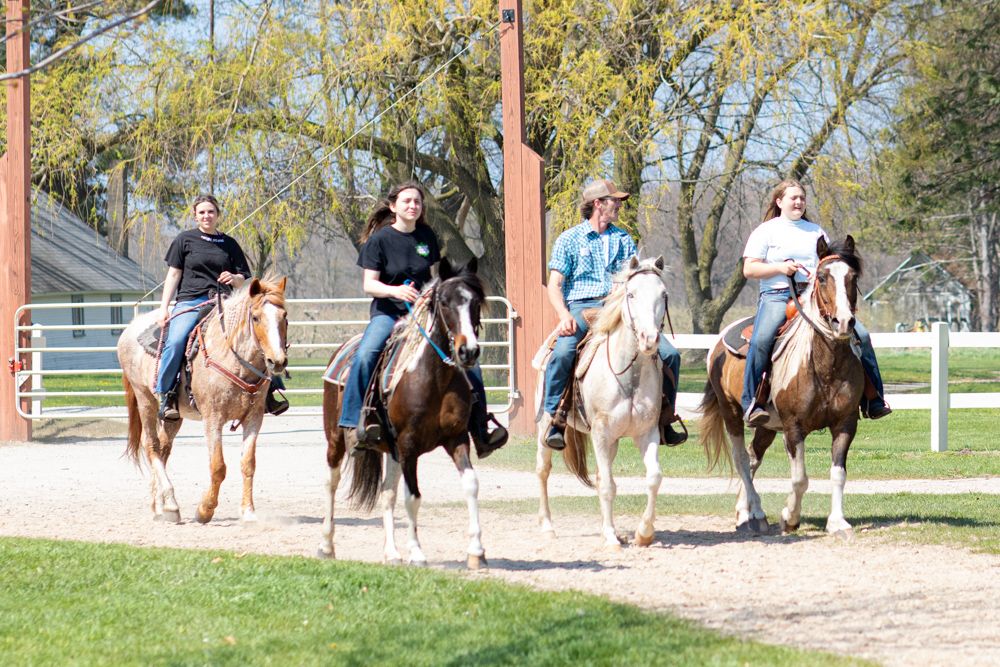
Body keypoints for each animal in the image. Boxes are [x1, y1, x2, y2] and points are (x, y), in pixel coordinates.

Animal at [119, 278, 290, 528]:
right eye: (256, 317)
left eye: (284, 316)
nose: (277, 361)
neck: (232, 357)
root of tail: (130, 328)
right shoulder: (213, 418)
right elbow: (218, 467)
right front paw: (205, 510)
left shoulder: (254, 418)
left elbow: (248, 463)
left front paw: (248, 513)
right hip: (145, 400)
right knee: (151, 446)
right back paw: (170, 504)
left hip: (174, 416)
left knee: (163, 448)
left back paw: (159, 507)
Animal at [320, 258, 488, 568]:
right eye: (444, 302)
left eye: (475, 302)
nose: (468, 351)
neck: (434, 378)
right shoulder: (409, 445)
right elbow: (413, 497)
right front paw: (417, 553)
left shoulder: (457, 438)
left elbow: (471, 484)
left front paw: (476, 551)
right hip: (335, 439)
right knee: (331, 483)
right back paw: (326, 545)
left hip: (391, 449)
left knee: (387, 493)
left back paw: (392, 553)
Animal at [536, 256, 668, 548]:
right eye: (631, 294)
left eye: (663, 295)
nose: (650, 339)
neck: (628, 375)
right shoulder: (600, 431)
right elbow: (608, 484)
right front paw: (609, 536)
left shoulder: (646, 432)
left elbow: (653, 477)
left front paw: (643, 533)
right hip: (544, 428)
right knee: (543, 470)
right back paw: (547, 527)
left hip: (613, 441)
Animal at [700, 237, 864, 540]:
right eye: (822, 277)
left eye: (852, 277)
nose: (844, 322)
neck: (825, 366)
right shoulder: (793, 426)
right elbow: (800, 478)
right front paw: (789, 517)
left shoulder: (846, 423)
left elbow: (838, 474)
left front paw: (838, 523)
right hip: (731, 413)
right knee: (742, 459)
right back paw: (755, 516)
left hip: (766, 426)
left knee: (753, 457)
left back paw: (744, 512)